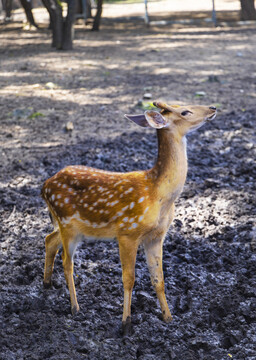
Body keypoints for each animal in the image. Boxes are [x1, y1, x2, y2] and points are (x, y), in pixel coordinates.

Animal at [41, 101, 216, 334]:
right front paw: (126, 324)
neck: (159, 195)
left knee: (49, 239)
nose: (213, 108)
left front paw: (168, 318)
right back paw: (75, 308)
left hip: (69, 226)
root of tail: (44, 186)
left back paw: (47, 284)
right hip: (67, 223)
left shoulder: (156, 236)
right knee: (67, 262)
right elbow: (129, 279)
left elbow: (158, 279)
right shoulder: (127, 232)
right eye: (185, 111)